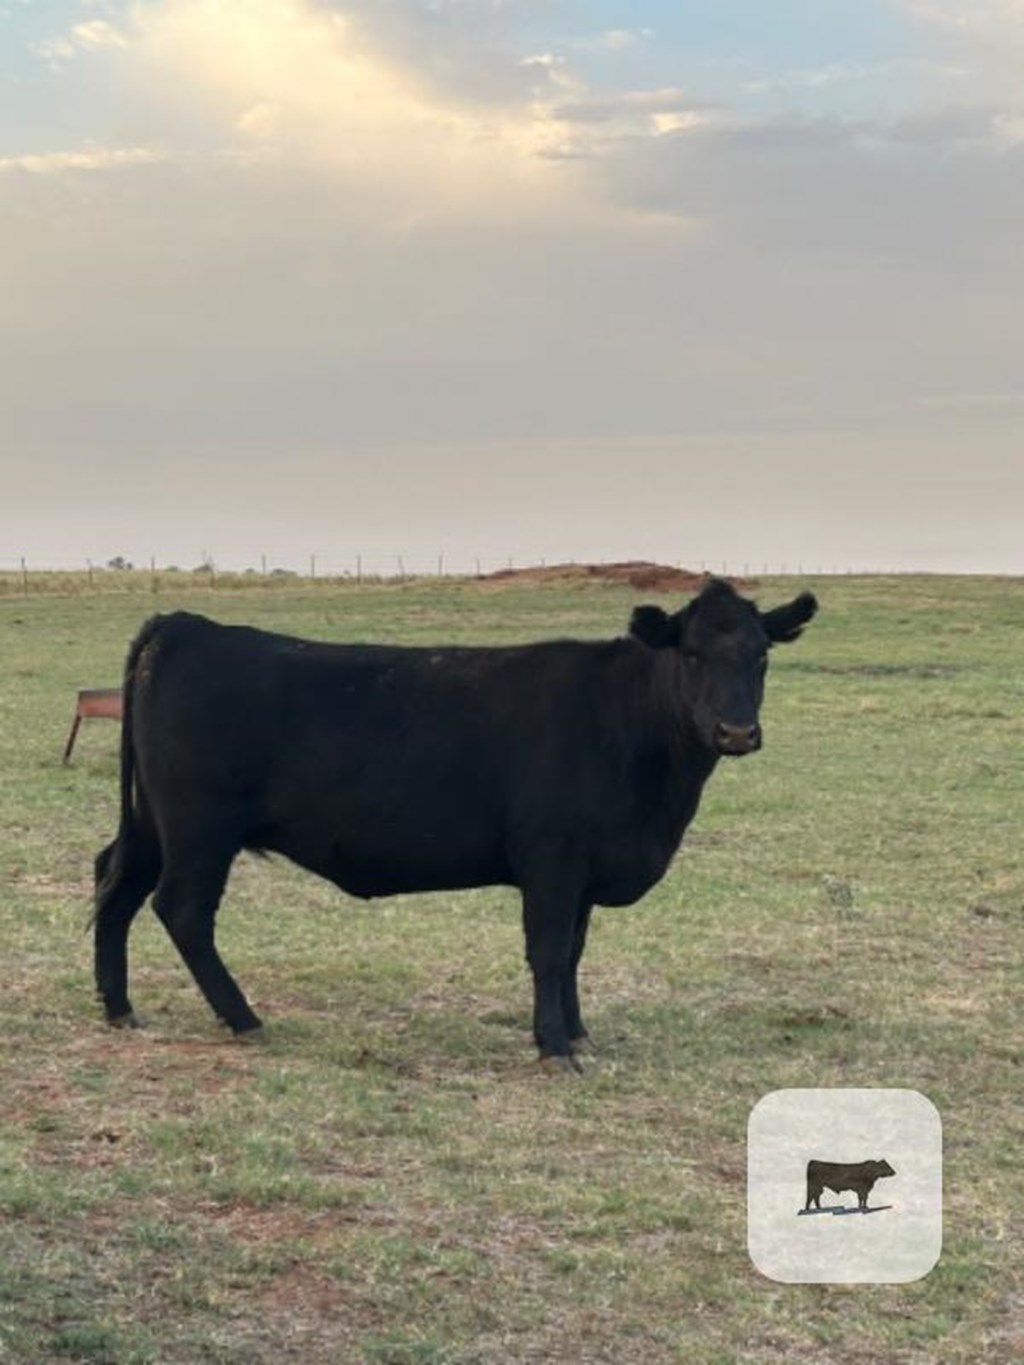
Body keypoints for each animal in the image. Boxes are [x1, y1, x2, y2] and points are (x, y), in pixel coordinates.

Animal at [93, 577, 817, 1072]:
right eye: (691, 654)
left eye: (762, 656)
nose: (736, 730)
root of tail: (185, 624)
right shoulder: (552, 860)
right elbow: (548, 951)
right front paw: (554, 1046)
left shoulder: (583, 871)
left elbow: (574, 951)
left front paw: (578, 1031)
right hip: (199, 829)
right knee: (181, 910)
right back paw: (244, 1018)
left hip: (153, 823)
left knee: (115, 885)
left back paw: (119, 1007)